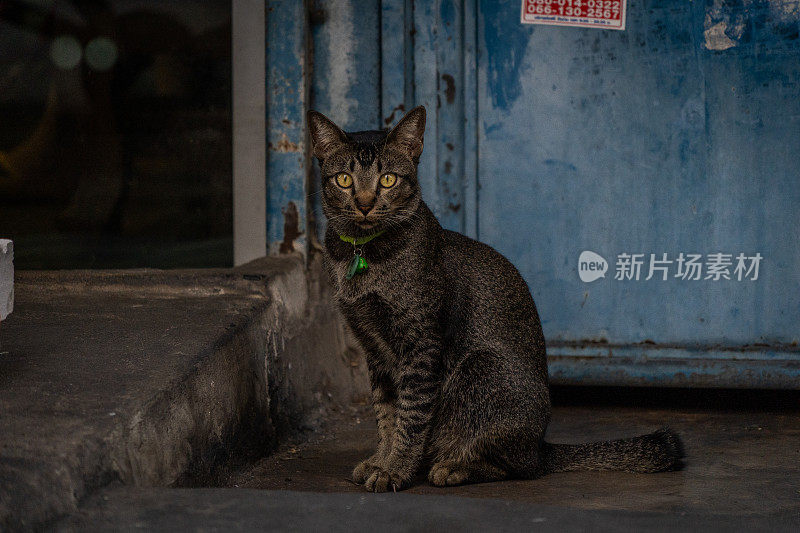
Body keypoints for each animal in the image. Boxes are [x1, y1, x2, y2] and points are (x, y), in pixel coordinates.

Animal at [306, 106, 680, 492]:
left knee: (516, 467)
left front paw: (396, 469)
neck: (362, 255)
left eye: (388, 180)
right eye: (344, 180)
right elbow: (385, 414)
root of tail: (540, 446)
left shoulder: (420, 344)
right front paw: (381, 460)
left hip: (480, 370)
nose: (365, 204)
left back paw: (453, 467)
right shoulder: (374, 349)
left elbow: (410, 417)